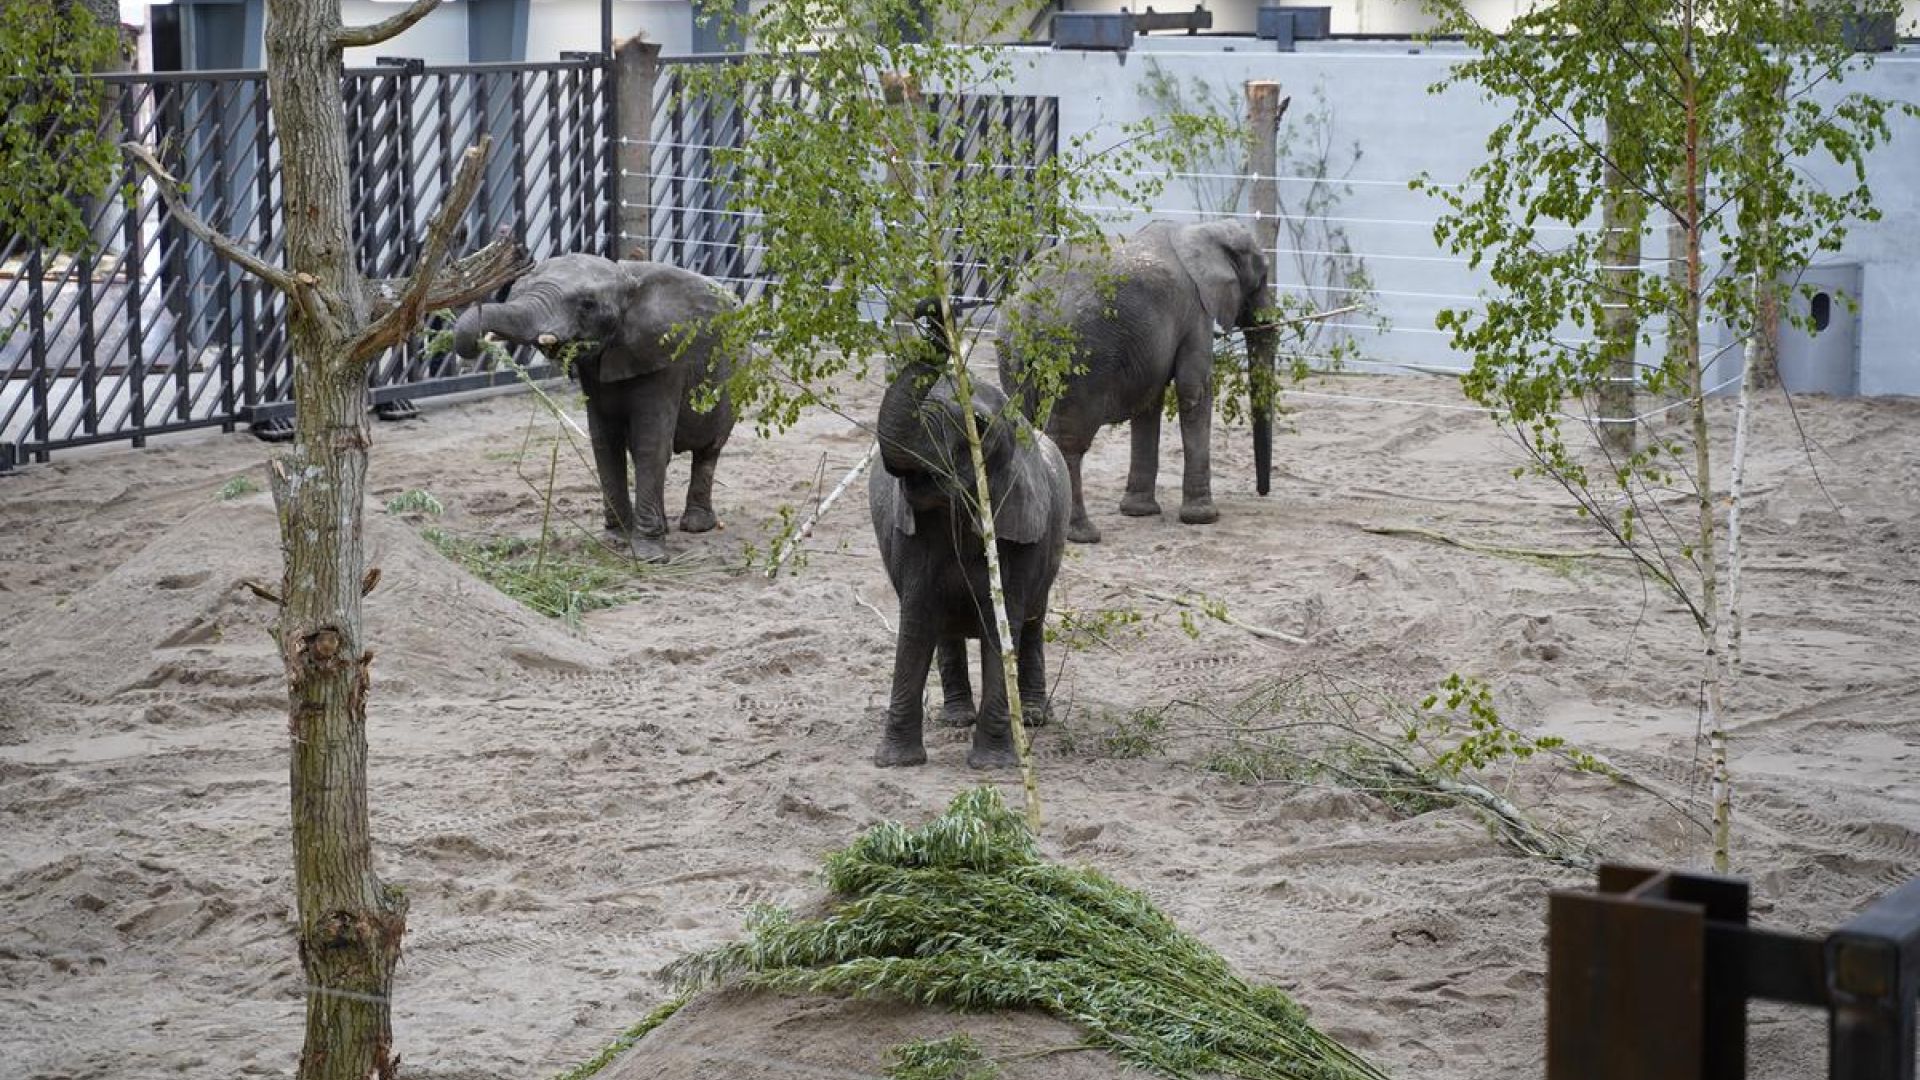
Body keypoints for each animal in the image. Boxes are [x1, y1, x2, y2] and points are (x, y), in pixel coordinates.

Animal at [453, 249, 737, 557]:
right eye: (518, 289)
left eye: (588, 305)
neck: (628, 279)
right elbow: (605, 443)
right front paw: (617, 540)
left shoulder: (666, 358)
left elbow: (650, 445)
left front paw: (648, 554)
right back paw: (666, 526)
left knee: (708, 449)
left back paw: (696, 525)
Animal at [867, 299, 1067, 764]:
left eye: (977, 422)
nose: (934, 308)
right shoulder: (913, 538)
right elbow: (916, 624)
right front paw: (897, 763)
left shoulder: (1018, 529)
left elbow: (1002, 627)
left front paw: (993, 765)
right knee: (945, 632)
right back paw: (957, 718)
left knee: (1033, 621)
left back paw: (1033, 716)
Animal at [990, 217, 1274, 541]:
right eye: (1263, 276)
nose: (1262, 493)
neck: (1200, 229)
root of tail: (1030, 310)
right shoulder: (1196, 312)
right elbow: (1194, 390)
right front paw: (1203, 518)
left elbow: (1149, 401)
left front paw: (1139, 512)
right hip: (1078, 358)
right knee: (1069, 442)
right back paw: (1083, 534)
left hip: (1011, 352)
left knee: (1027, 431)